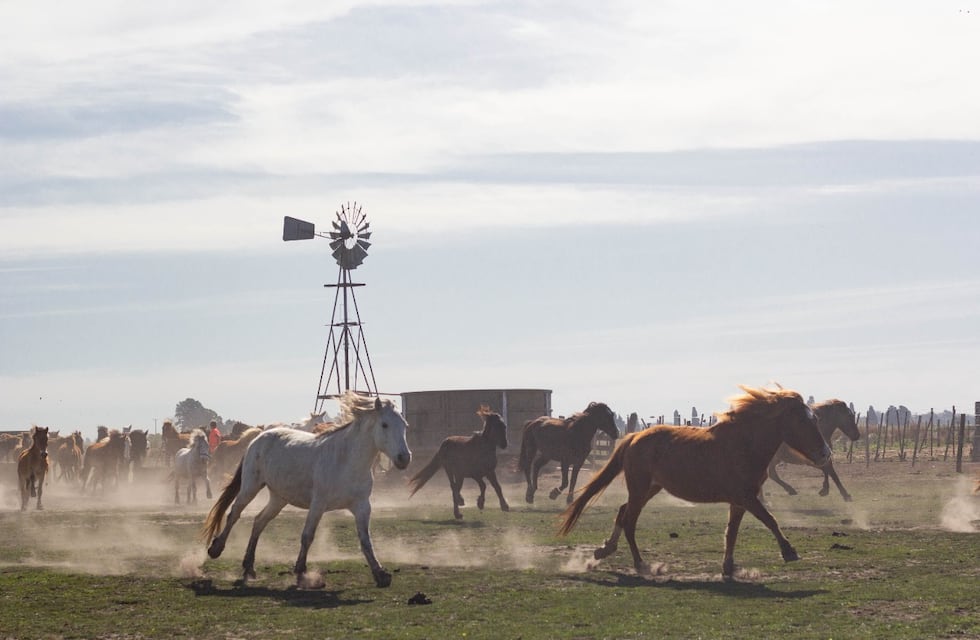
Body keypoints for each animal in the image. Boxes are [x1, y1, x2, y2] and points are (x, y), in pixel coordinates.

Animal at [201, 393, 411, 588]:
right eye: (384, 425)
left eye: (404, 425)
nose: (404, 458)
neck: (347, 460)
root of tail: (258, 438)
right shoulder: (318, 504)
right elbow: (307, 536)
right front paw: (301, 571)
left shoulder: (362, 506)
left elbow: (366, 540)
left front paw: (380, 574)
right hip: (250, 487)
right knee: (234, 513)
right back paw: (216, 549)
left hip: (278, 498)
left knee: (259, 521)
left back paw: (249, 567)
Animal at [558, 385, 833, 581]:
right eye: (803, 421)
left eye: (816, 419)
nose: (826, 453)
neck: (744, 443)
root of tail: (634, 437)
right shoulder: (746, 497)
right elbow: (770, 519)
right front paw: (789, 551)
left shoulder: (740, 501)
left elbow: (732, 532)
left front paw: (729, 567)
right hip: (640, 489)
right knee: (629, 520)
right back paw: (641, 564)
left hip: (649, 488)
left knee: (623, 512)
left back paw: (605, 550)